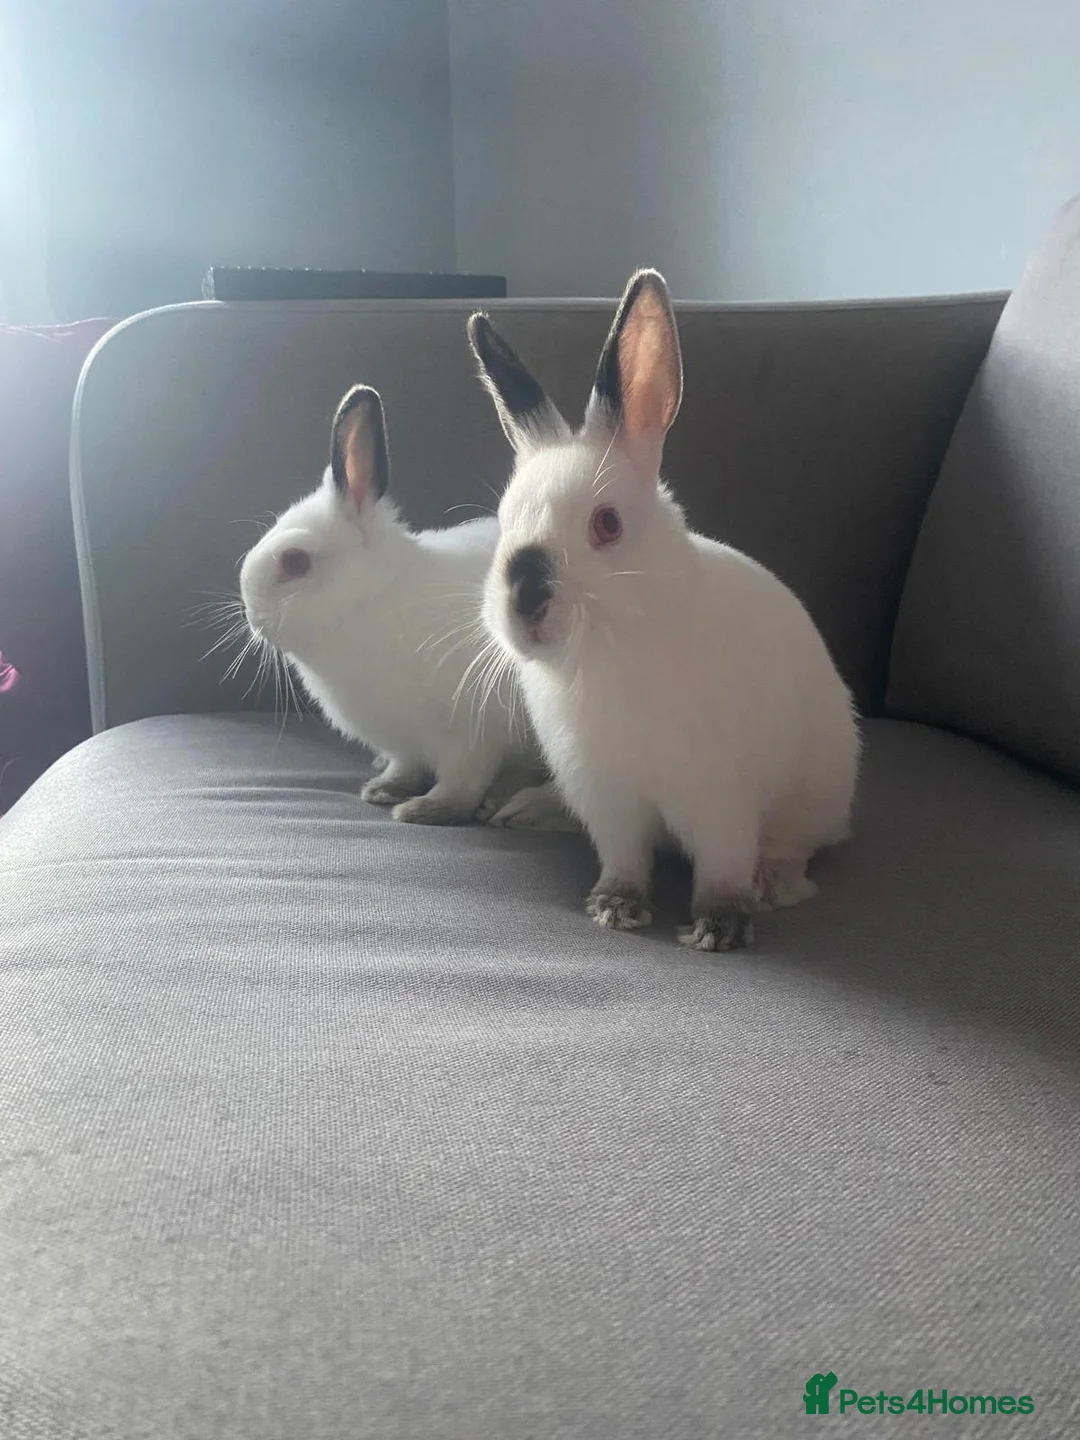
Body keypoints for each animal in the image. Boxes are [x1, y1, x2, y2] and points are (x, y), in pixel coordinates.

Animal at [238, 382, 575, 830]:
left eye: (295, 562)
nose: (251, 614)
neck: (374, 600)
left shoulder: (471, 736)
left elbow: (462, 781)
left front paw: (426, 809)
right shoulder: (405, 742)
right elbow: (406, 766)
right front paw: (383, 789)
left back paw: (522, 808)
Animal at [467, 270, 859, 950]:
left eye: (607, 525)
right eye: (505, 520)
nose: (525, 601)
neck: (609, 651)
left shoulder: (722, 800)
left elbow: (723, 867)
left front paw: (719, 929)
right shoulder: (609, 800)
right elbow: (624, 859)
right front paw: (614, 907)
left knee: (797, 846)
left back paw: (775, 883)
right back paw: (525, 808)